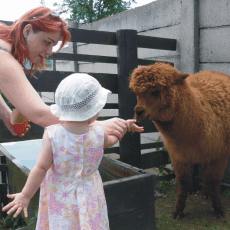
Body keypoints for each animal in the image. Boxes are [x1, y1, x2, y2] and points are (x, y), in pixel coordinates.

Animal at [129, 62, 230, 218]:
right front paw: (178, 211)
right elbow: (183, 182)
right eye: (136, 93)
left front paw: (218, 210)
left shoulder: (219, 153)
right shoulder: (178, 155)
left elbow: (213, 180)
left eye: (156, 91)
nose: (138, 112)